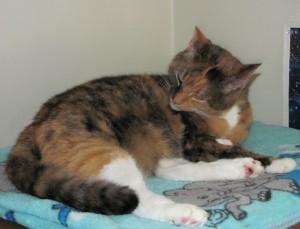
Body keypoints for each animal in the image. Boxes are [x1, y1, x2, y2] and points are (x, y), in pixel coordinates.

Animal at [5, 27, 296, 227]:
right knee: (139, 195)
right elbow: (229, 148)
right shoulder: (193, 142)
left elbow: (226, 145)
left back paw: (242, 169)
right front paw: (276, 161)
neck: (223, 115)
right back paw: (185, 211)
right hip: (101, 150)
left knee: (173, 170)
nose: (175, 101)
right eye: (179, 79)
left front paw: (242, 153)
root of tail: (33, 125)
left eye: (200, 95)